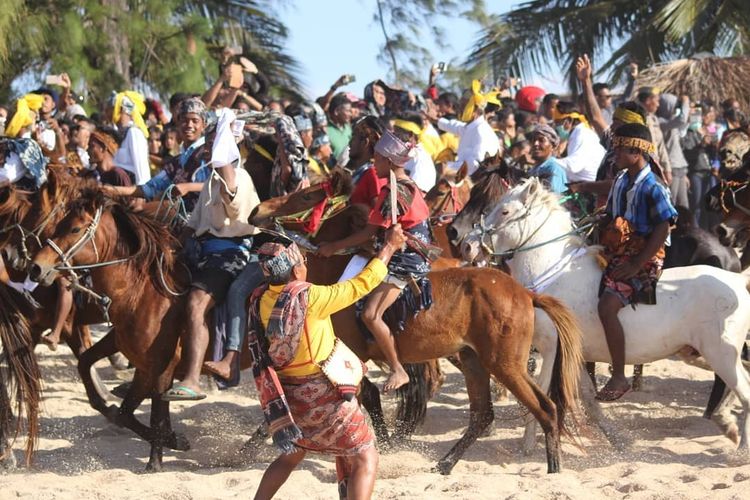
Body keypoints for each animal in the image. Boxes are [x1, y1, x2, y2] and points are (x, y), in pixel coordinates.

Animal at [253, 178, 588, 474]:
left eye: (306, 196)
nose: (257, 210)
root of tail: (525, 293)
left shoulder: (350, 355)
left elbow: (362, 396)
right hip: (474, 360)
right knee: (482, 414)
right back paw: (446, 463)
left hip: (505, 364)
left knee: (546, 409)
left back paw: (553, 468)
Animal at [462, 178, 750, 456]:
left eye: (505, 211)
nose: (467, 245)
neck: (554, 273)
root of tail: (737, 280)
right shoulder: (573, 354)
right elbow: (588, 399)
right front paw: (619, 440)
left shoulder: (551, 348)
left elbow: (541, 394)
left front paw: (528, 445)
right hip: (705, 354)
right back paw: (727, 424)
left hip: (720, 353)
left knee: (744, 392)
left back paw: (740, 450)